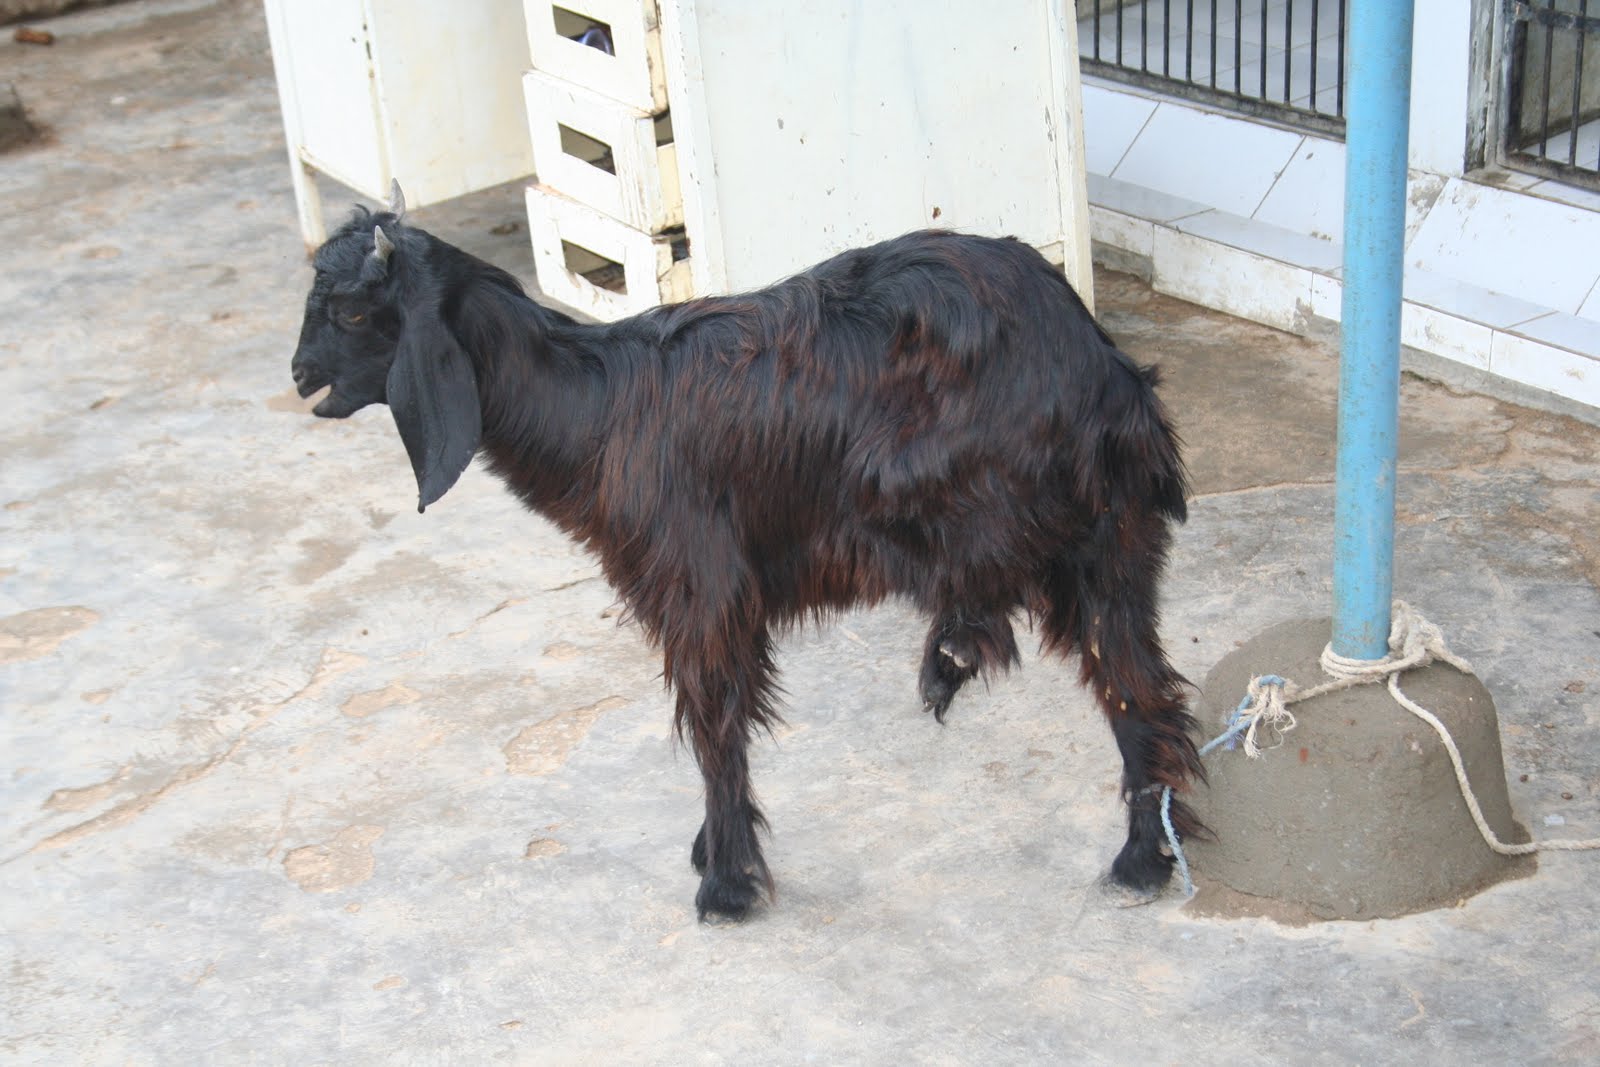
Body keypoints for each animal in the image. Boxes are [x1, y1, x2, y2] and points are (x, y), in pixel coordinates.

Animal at [288, 185, 1204, 921]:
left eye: (352, 313)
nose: (298, 376)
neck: (597, 408)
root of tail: (1106, 369)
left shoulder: (701, 588)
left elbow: (715, 726)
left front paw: (726, 882)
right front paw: (714, 854)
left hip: (1014, 505)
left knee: (1066, 639)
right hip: (1112, 545)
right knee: (1139, 682)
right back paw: (1143, 850)